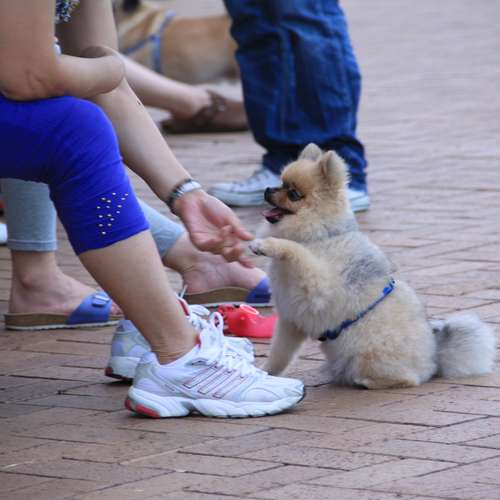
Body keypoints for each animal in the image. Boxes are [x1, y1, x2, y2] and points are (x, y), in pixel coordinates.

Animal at [250, 144, 496, 389]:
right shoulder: (290, 321)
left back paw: (367, 380)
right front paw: (266, 373)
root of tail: (436, 358)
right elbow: (279, 354)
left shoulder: (318, 284)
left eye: (293, 194)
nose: (268, 189)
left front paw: (265, 244)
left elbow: (296, 250)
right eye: (280, 182)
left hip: (370, 353)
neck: (319, 236)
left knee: (407, 378)